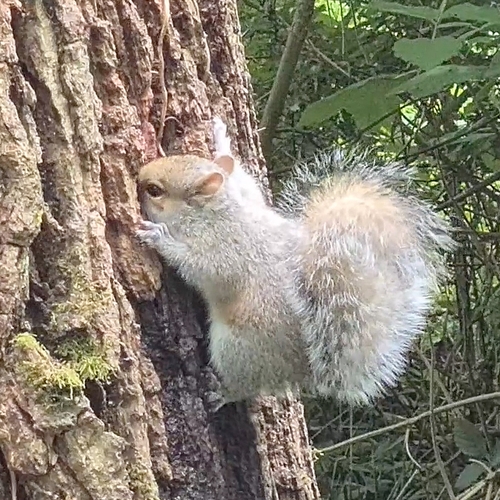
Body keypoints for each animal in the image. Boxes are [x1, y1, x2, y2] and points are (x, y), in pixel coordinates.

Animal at [135, 118, 456, 410]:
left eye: (155, 190)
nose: (137, 175)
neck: (215, 211)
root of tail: (302, 367)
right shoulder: (248, 201)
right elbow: (247, 185)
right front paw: (222, 143)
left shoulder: (227, 246)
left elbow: (205, 269)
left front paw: (160, 238)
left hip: (238, 348)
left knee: (247, 383)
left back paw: (222, 392)